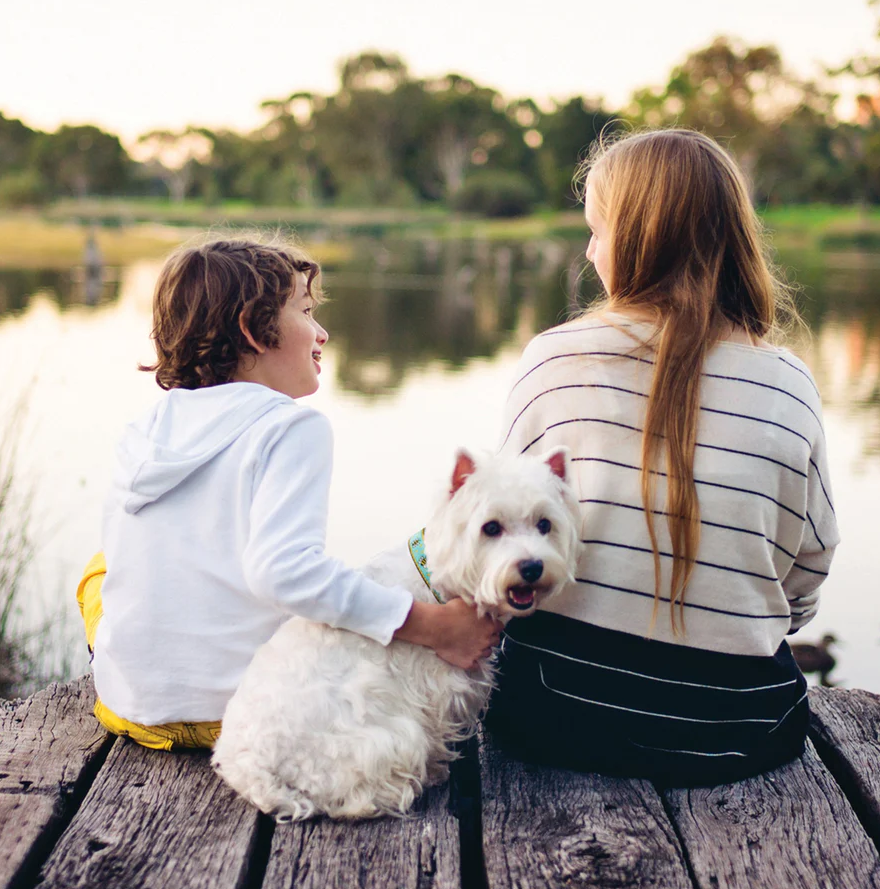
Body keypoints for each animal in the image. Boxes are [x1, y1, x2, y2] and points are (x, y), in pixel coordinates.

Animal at [212, 448, 580, 824]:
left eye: (544, 524)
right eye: (491, 527)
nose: (532, 567)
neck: (436, 582)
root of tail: (246, 768)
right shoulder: (433, 688)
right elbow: (437, 728)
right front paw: (438, 768)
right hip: (377, 739)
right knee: (350, 796)